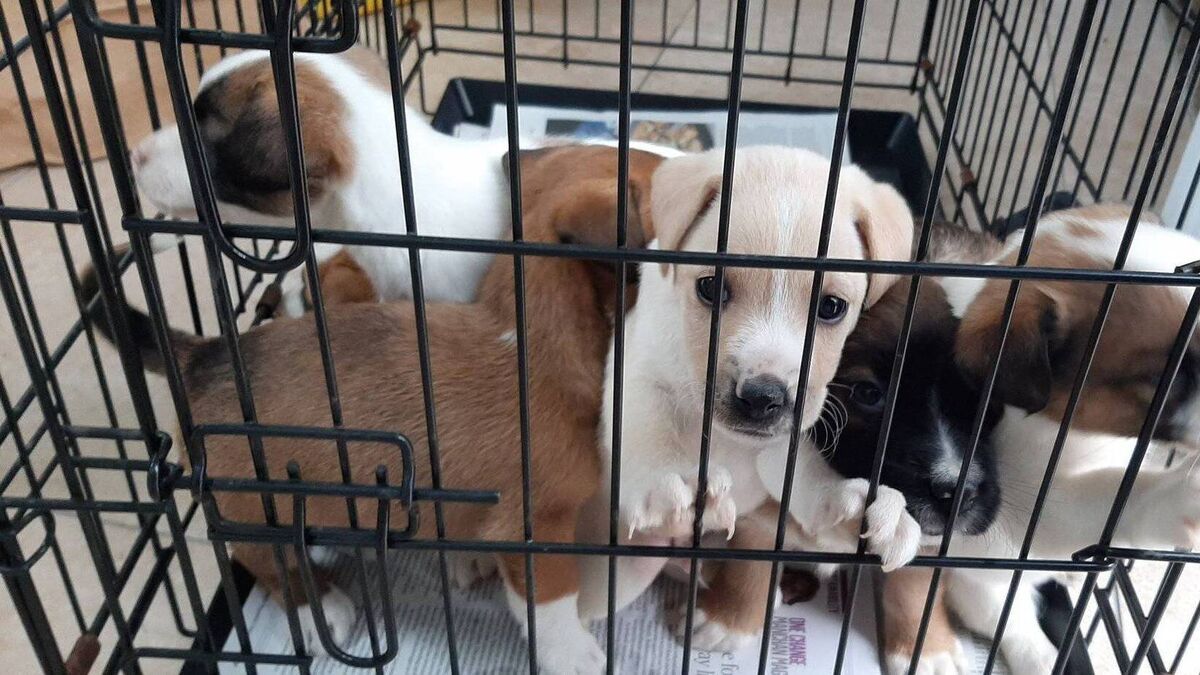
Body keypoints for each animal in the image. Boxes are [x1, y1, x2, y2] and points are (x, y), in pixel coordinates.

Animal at [87, 145, 664, 673]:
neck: (531, 335)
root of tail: (204, 357)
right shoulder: (535, 528)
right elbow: (554, 605)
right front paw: (577, 657)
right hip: (257, 515)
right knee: (271, 566)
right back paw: (322, 606)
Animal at [577, 147, 922, 650]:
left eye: (832, 307)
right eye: (710, 289)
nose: (762, 398)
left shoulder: (783, 444)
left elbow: (807, 477)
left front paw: (852, 506)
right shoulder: (638, 365)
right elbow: (648, 422)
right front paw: (668, 486)